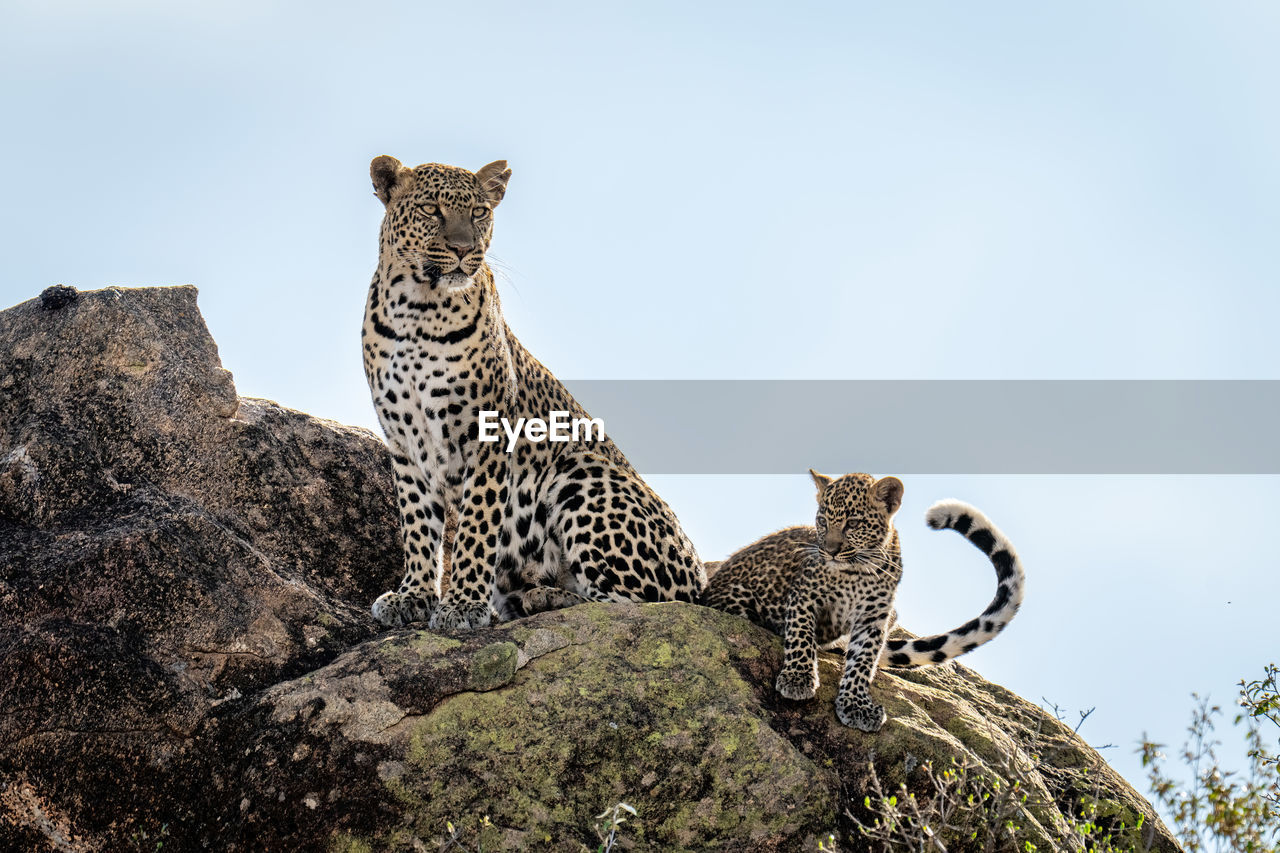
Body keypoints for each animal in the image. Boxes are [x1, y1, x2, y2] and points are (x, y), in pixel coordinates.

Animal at [360, 156, 706, 627]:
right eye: (431, 209)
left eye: (479, 213)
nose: (464, 250)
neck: (417, 308)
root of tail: (702, 579)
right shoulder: (404, 442)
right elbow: (417, 525)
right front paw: (413, 595)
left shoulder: (488, 435)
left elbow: (476, 524)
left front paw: (463, 604)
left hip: (580, 469)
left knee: (641, 605)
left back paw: (542, 598)